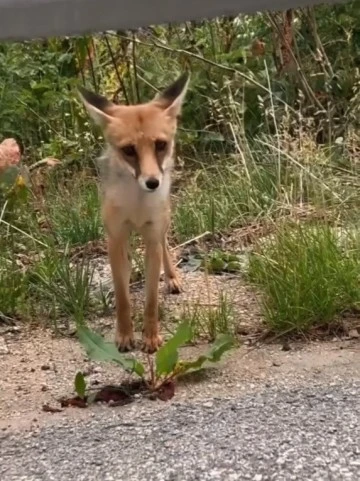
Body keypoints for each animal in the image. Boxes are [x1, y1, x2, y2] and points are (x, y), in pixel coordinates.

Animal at [78, 74, 190, 352]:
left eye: (160, 145)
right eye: (129, 150)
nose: (152, 182)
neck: (137, 206)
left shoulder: (151, 238)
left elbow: (151, 301)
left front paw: (150, 337)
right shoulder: (115, 239)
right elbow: (123, 298)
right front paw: (125, 335)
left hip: (163, 223)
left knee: (165, 243)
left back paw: (172, 277)